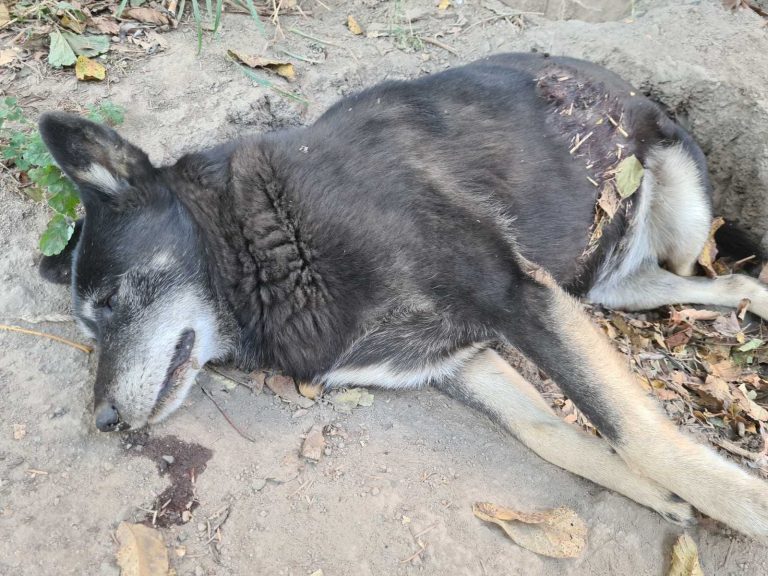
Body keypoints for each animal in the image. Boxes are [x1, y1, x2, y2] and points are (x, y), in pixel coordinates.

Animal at [37, 51, 768, 536]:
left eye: (110, 304)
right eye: (88, 329)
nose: (103, 421)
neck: (265, 239)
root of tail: (617, 82)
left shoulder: (512, 292)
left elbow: (634, 430)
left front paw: (742, 507)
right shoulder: (455, 360)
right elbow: (548, 434)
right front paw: (664, 498)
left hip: (680, 210)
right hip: (612, 288)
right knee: (722, 282)